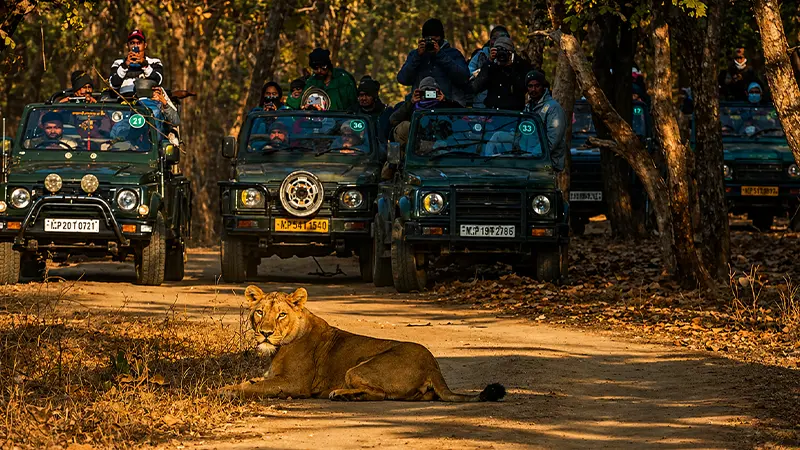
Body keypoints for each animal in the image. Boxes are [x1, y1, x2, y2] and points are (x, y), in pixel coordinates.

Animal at [219, 286, 506, 402]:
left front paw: (226, 391)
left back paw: (340, 394)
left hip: (358, 368)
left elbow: (255, 387)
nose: (265, 333)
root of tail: (433, 365)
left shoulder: (294, 383)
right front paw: (229, 387)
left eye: (281, 314)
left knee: (379, 394)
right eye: (259, 312)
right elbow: (252, 381)